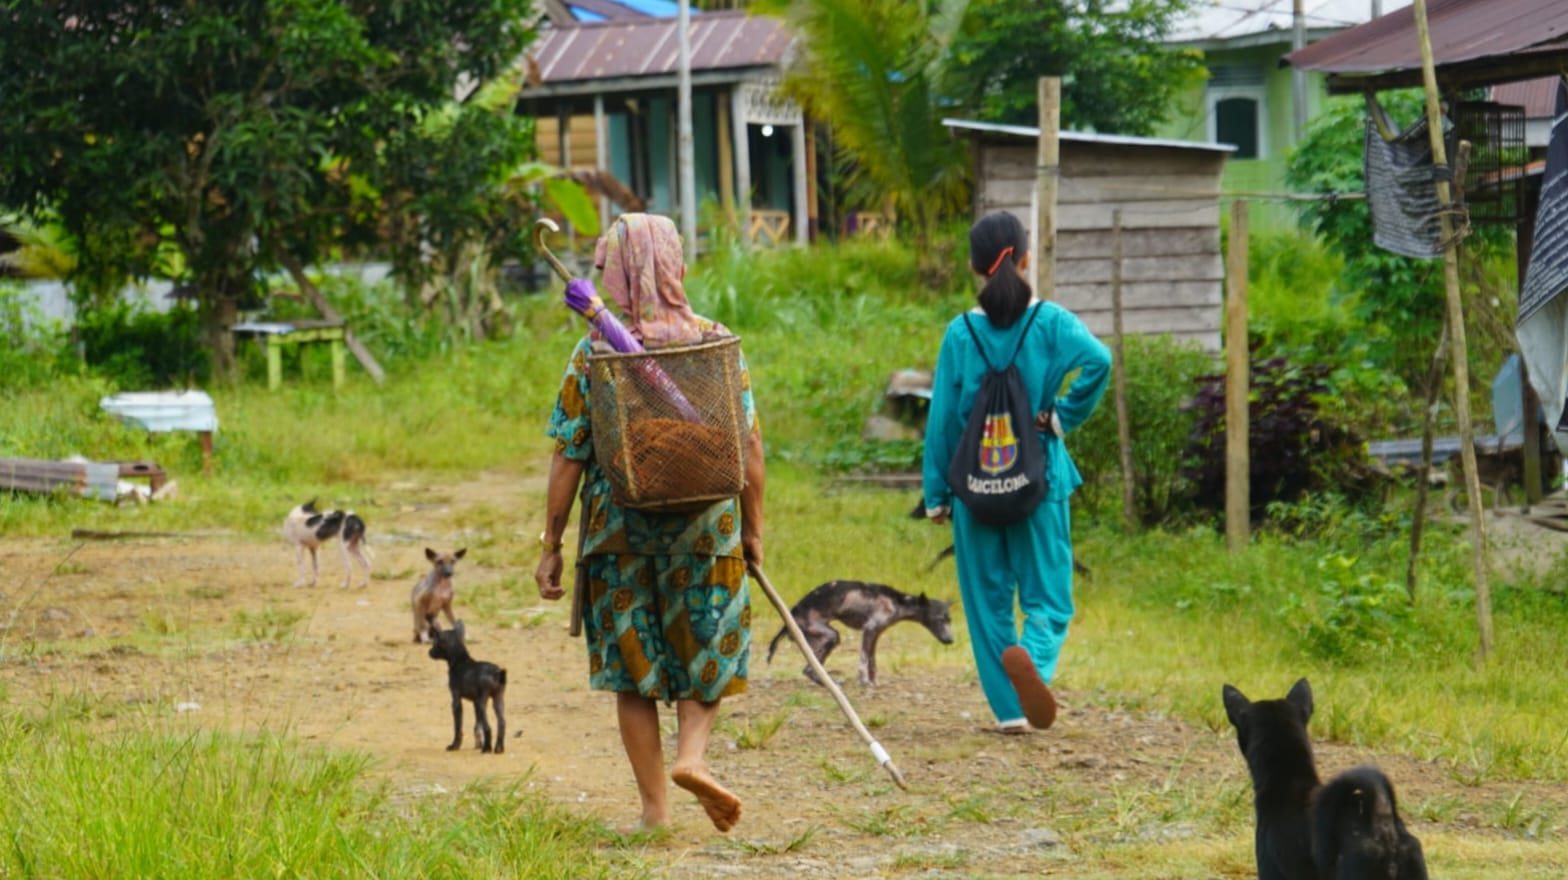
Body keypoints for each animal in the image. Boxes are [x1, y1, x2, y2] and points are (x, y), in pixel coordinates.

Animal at [426, 618, 504, 756]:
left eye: (434, 643)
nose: (429, 652)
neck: (460, 660)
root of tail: (496, 672)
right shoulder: (474, 702)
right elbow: (477, 726)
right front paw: (478, 744)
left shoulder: (456, 700)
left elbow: (458, 727)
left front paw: (454, 745)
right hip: (497, 700)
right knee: (502, 723)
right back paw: (498, 748)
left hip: (483, 702)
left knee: (488, 727)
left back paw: (487, 749)